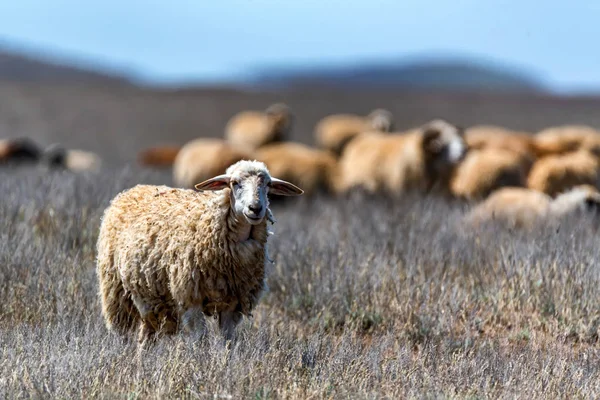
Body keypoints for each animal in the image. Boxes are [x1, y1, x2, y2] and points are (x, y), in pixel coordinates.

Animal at [99, 159, 308, 344]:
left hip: (153, 299)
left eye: (268, 184)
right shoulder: (191, 298)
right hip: (115, 292)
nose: (255, 208)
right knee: (121, 333)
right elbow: (199, 340)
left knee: (145, 338)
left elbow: (227, 342)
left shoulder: (233, 304)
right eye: (234, 183)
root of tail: (132, 190)